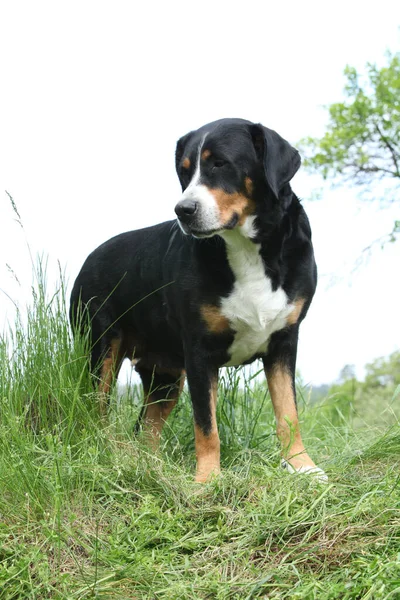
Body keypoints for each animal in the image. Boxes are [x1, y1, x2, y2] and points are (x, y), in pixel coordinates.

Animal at [69, 117, 326, 482]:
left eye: (220, 163)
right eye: (185, 170)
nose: (183, 210)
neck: (246, 250)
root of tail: (90, 258)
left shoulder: (284, 341)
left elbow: (288, 413)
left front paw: (302, 466)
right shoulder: (199, 353)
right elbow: (206, 425)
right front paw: (208, 480)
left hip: (164, 378)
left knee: (146, 430)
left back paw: (149, 468)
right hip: (101, 350)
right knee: (98, 410)